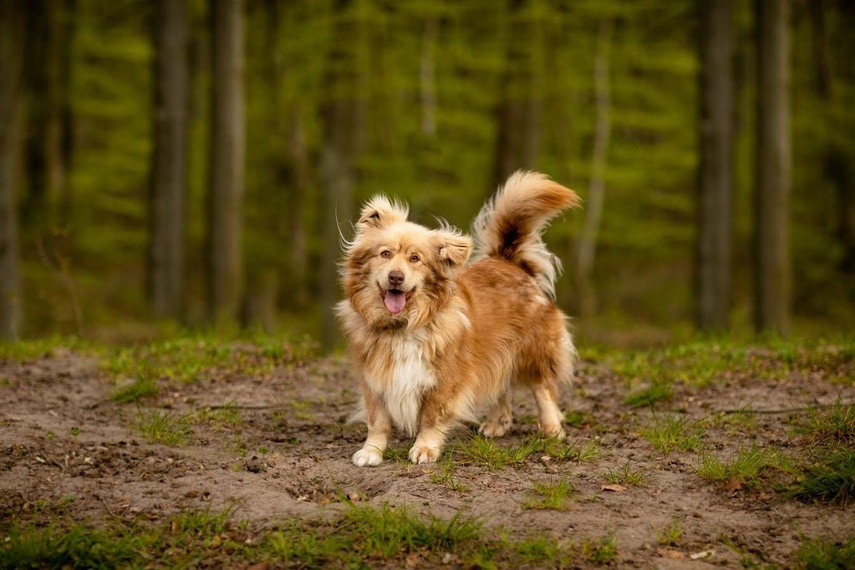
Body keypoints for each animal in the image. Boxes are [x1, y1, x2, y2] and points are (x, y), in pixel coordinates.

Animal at [336, 171, 580, 464]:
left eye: (415, 259)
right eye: (385, 254)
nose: (396, 277)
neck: (403, 325)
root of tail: (508, 261)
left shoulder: (445, 380)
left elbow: (431, 419)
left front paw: (425, 448)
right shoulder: (375, 379)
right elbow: (378, 420)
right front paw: (371, 451)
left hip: (533, 349)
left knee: (543, 388)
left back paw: (552, 429)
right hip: (497, 353)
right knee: (500, 386)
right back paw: (497, 424)